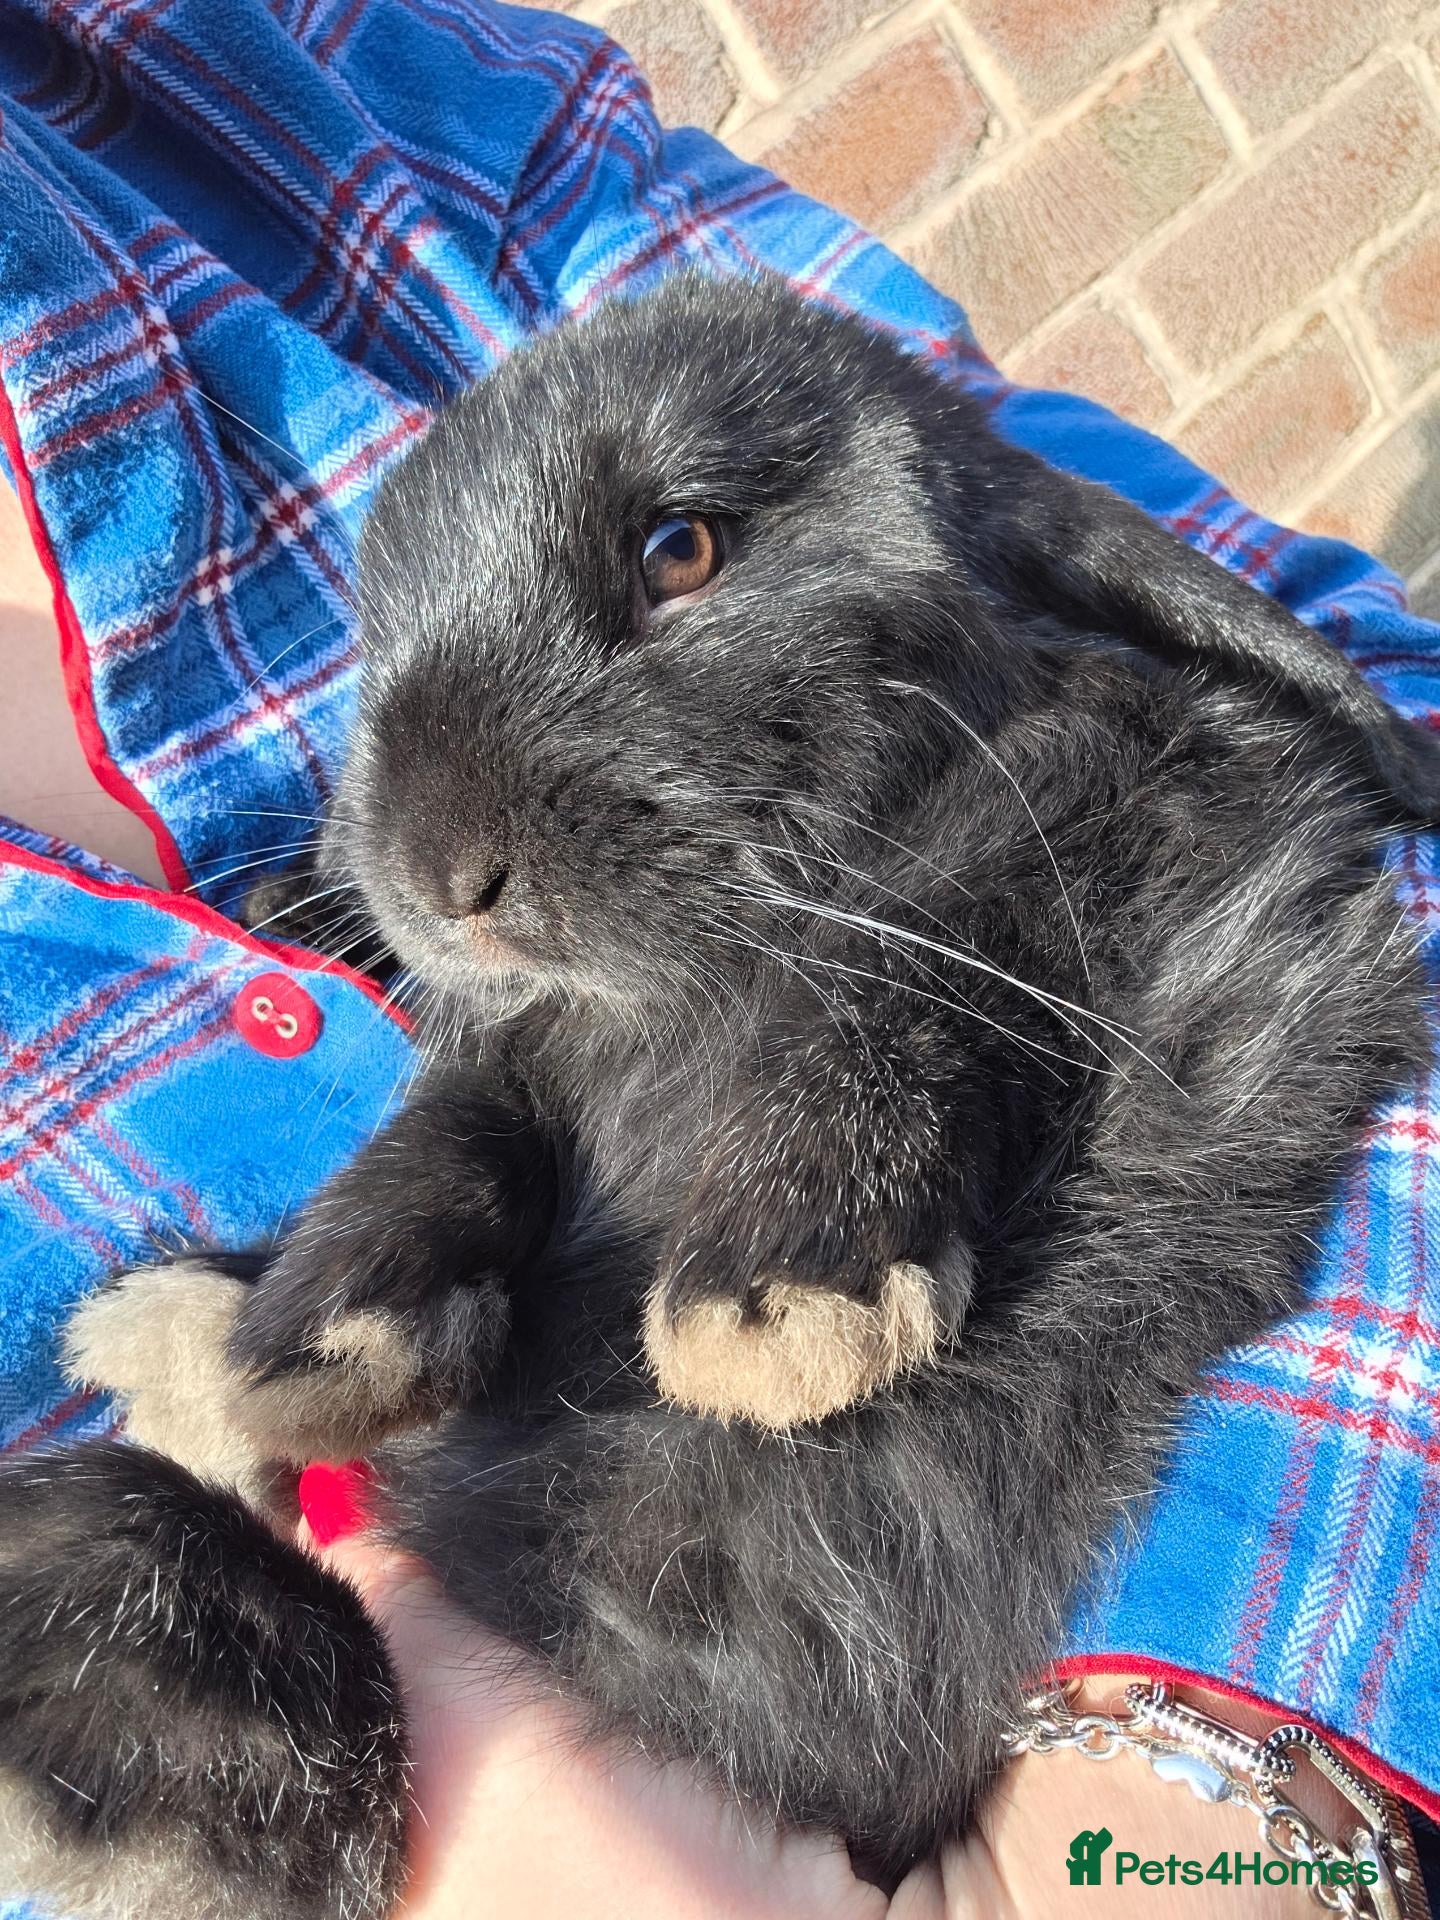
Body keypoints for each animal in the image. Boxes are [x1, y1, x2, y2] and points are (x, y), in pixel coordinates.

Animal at [2, 271, 1436, 1920]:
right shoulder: (527, 1054)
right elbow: (460, 1122)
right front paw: (322, 1340)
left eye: (679, 549)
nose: (438, 875)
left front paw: (775, 1308)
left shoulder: (1105, 866)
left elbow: (905, 991)